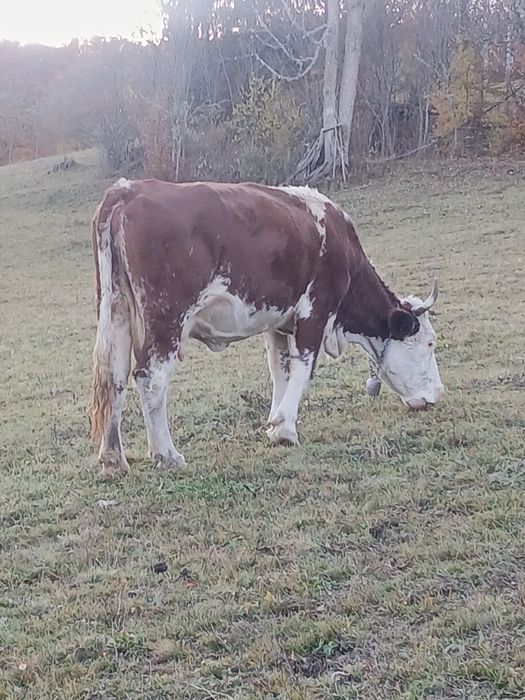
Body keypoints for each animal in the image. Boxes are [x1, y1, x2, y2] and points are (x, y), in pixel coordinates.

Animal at [90, 178, 444, 476]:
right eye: (430, 343)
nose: (439, 393)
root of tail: (129, 189)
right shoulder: (315, 310)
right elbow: (302, 369)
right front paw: (286, 429)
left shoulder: (279, 322)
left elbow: (280, 370)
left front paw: (274, 425)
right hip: (166, 319)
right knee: (151, 378)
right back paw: (166, 454)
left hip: (116, 310)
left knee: (115, 375)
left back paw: (113, 459)